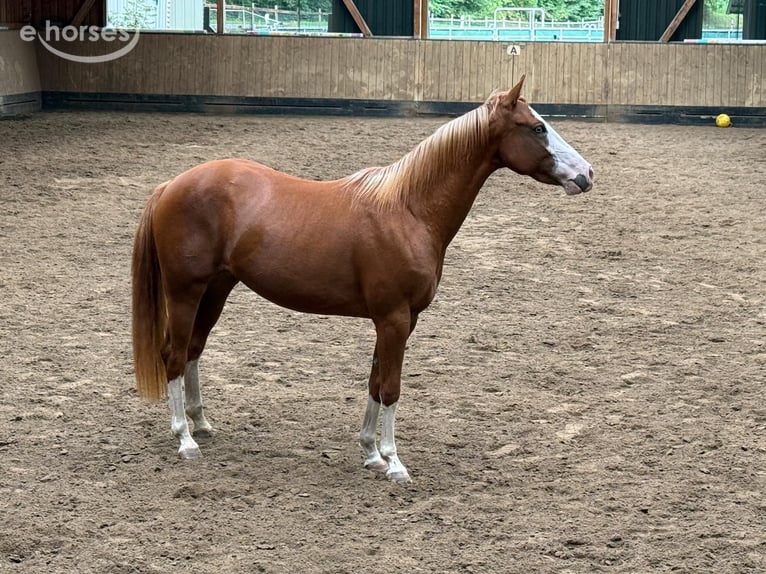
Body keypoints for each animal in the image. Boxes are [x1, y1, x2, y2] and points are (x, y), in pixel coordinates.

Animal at [131, 75, 593, 483]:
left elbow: (374, 381)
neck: (408, 210)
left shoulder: (398, 320)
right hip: (185, 291)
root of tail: (172, 184)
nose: (587, 174)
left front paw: (371, 452)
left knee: (193, 349)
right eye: (537, 127)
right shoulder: (394, 318)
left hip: (217, 289)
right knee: (173, 354)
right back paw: (185, 439)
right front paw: (394, 462)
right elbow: (390, 387)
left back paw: (201, 423)